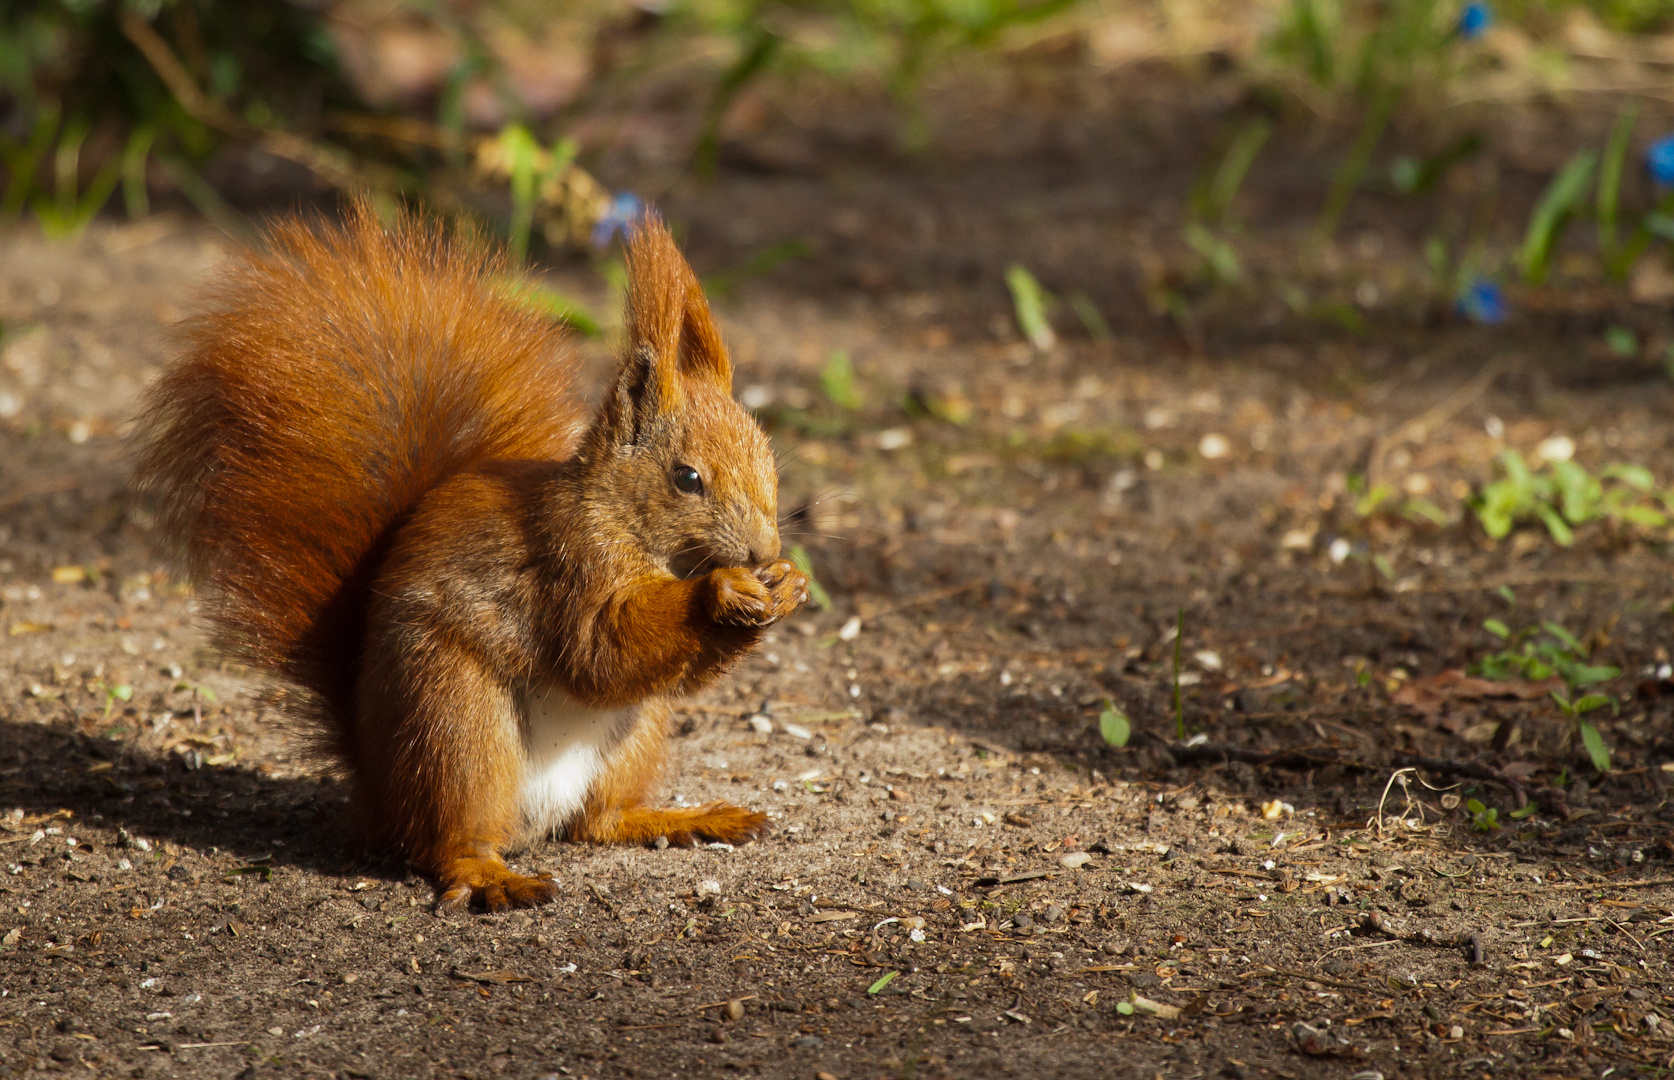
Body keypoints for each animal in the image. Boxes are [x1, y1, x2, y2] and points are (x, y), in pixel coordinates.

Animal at [137, 200, 803, 910]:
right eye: (687, 478)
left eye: (769, 461)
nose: (765, 550)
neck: (631, 525)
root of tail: (376, 788)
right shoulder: (567, 560)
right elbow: (599, 648)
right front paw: (723, 590)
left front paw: (786, 584)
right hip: (455, 720)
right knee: (452, 840)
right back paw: (491, 875)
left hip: (635, 734)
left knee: (600, 821)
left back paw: (686, 818)